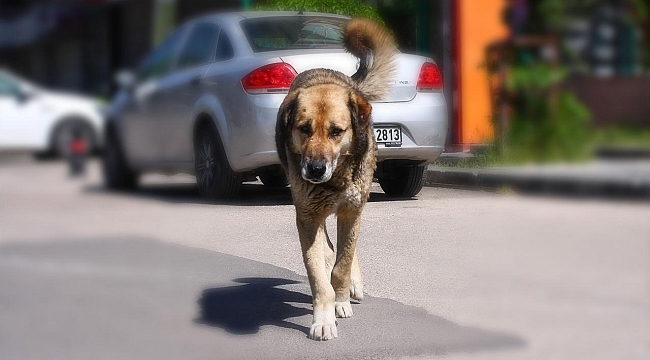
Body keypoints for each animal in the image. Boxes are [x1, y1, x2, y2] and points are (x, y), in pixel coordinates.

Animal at [274, 19, 394, 340]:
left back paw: (352, 283)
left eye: (336, 132)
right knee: (328, 248)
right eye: (304, 128)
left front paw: (341, 300)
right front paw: (323, 318)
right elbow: (318, 275)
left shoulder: (351, 212)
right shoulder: (307, 216)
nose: (315, 169)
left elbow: (343, 264)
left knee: (345, 252)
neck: (336, 179)